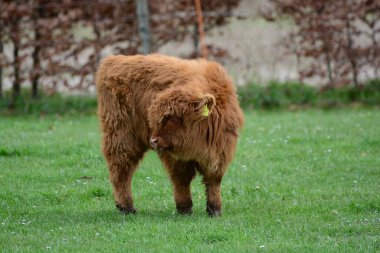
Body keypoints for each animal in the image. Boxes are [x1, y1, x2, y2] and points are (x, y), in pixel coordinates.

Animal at [95, 54, 243, 216]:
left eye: (174, 117)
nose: (153, 140)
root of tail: (114, 60)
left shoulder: (222, 151)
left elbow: (213, 180)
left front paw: (215, 209)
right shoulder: (174, 156)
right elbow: (182, 178)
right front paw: (184, 207)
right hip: (122, 136)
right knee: (121, 169)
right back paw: (126, 206)